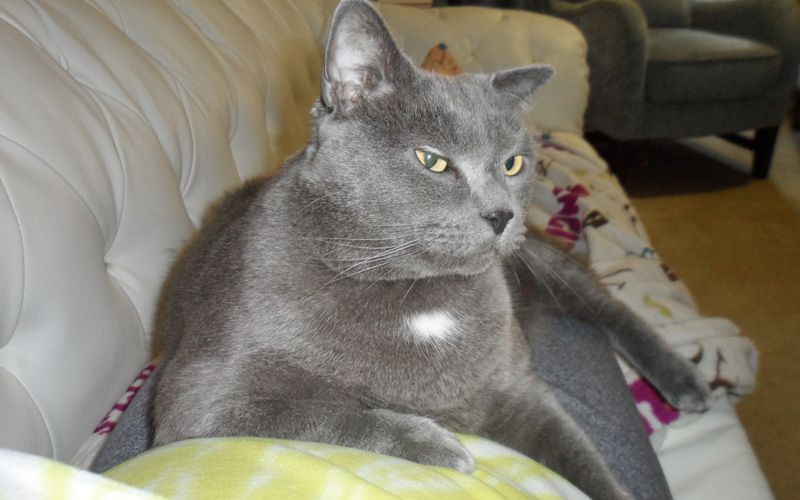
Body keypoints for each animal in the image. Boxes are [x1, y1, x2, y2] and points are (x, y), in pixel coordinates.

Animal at [153, 1, 708, 498]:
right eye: (432, 160)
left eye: (513, 163)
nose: (502, 214)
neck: (418, 294)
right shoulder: (198, 401)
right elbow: (317, 413)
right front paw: (438, 443)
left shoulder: (517, 387)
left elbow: (587, 460)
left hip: (540, 262)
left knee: (606, 306)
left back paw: (687, 382)